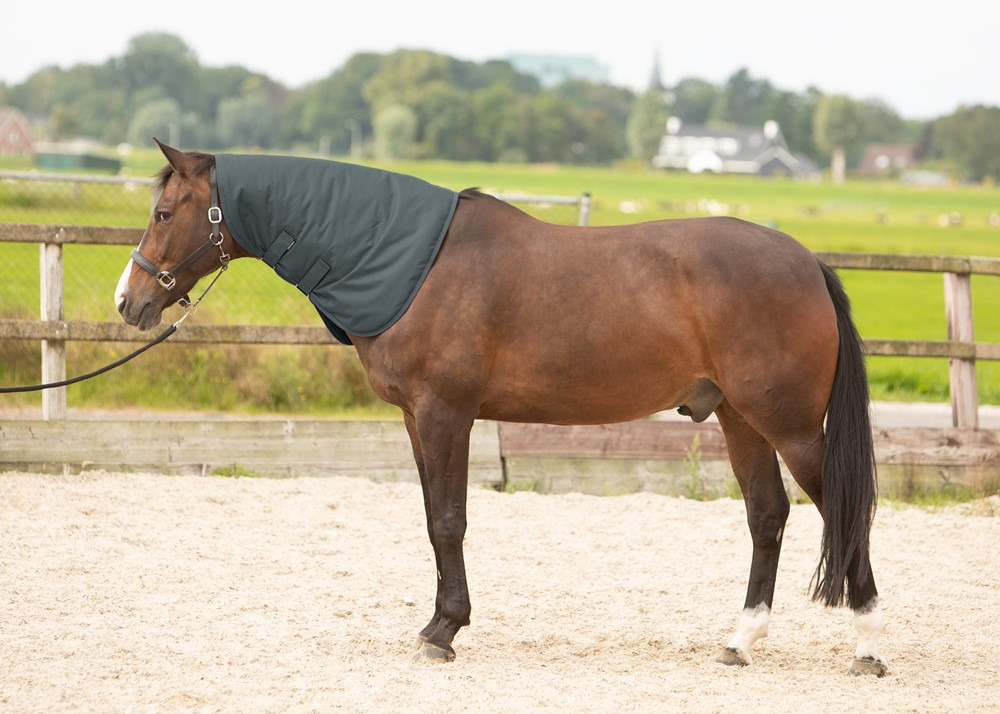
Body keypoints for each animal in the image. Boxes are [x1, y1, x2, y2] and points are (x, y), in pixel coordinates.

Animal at [115, 140, 886, 677]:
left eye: (162, 213)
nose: (130, 301)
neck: (413, 265)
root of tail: (807, 262)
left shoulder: (446, 413)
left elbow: (450, 522)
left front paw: (443, 632)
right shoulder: (416, 418)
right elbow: (434, 520)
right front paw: (438, 624)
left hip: (790, 426)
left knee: (845, 511)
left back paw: (868, 645)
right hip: (740, 419)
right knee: (768, 515)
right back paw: (739, 640)